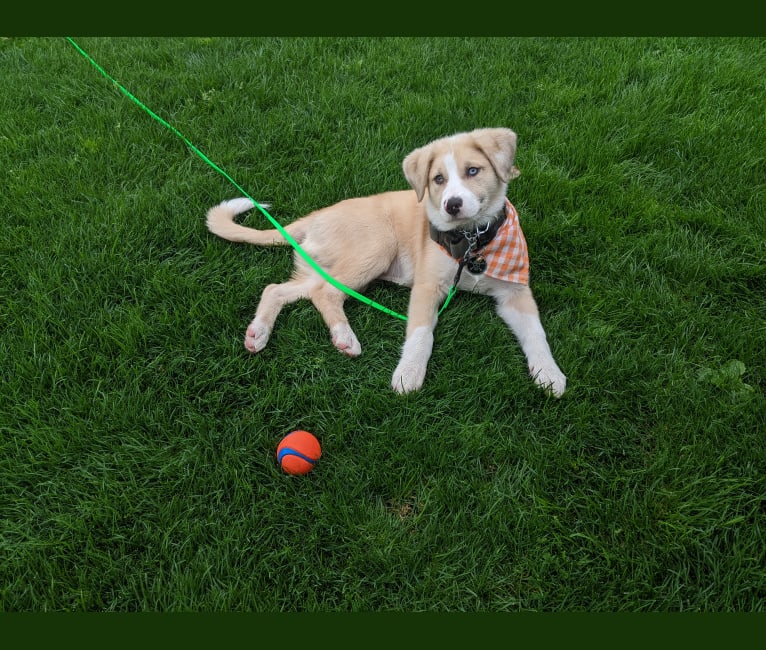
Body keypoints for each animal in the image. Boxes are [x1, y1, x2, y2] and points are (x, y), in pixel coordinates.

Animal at [207, 126, 568, 394]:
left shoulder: (515, 292)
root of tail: (315, 216)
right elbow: (421, 334)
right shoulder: (426, 287)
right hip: (377, 246)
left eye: (473, 171)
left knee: (280, 289)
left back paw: (259, 333)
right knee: (324, 293)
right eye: (438, 179)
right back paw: (344, 337)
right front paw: (409, 373)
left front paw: (549, 373)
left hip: (324, 265)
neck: (471, 241)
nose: (451, 205)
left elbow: (536, 333)